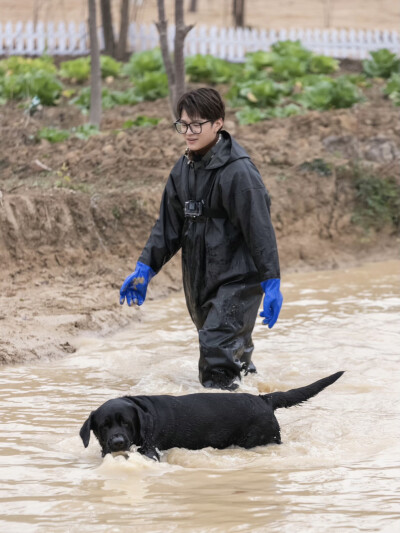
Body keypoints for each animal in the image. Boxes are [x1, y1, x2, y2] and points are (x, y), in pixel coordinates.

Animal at [79, 370, 342, 462]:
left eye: (126, 423)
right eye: (104, 426)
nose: (117, 441)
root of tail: (262, 399)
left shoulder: (151, 451)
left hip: (262, 439)